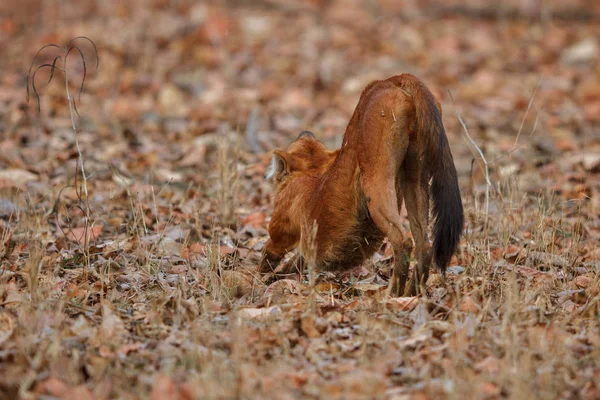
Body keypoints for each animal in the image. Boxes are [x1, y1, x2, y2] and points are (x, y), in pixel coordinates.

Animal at [258, 73, 464, 296]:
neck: (312, 174)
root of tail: (392, 79)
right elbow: (296, 261)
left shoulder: (280, 232)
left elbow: (268, 255)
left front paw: (260, 279)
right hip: (415, 179)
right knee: (424, 245)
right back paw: (411, 295)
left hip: (377, 181)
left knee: (403, 241)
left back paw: (391, 295)